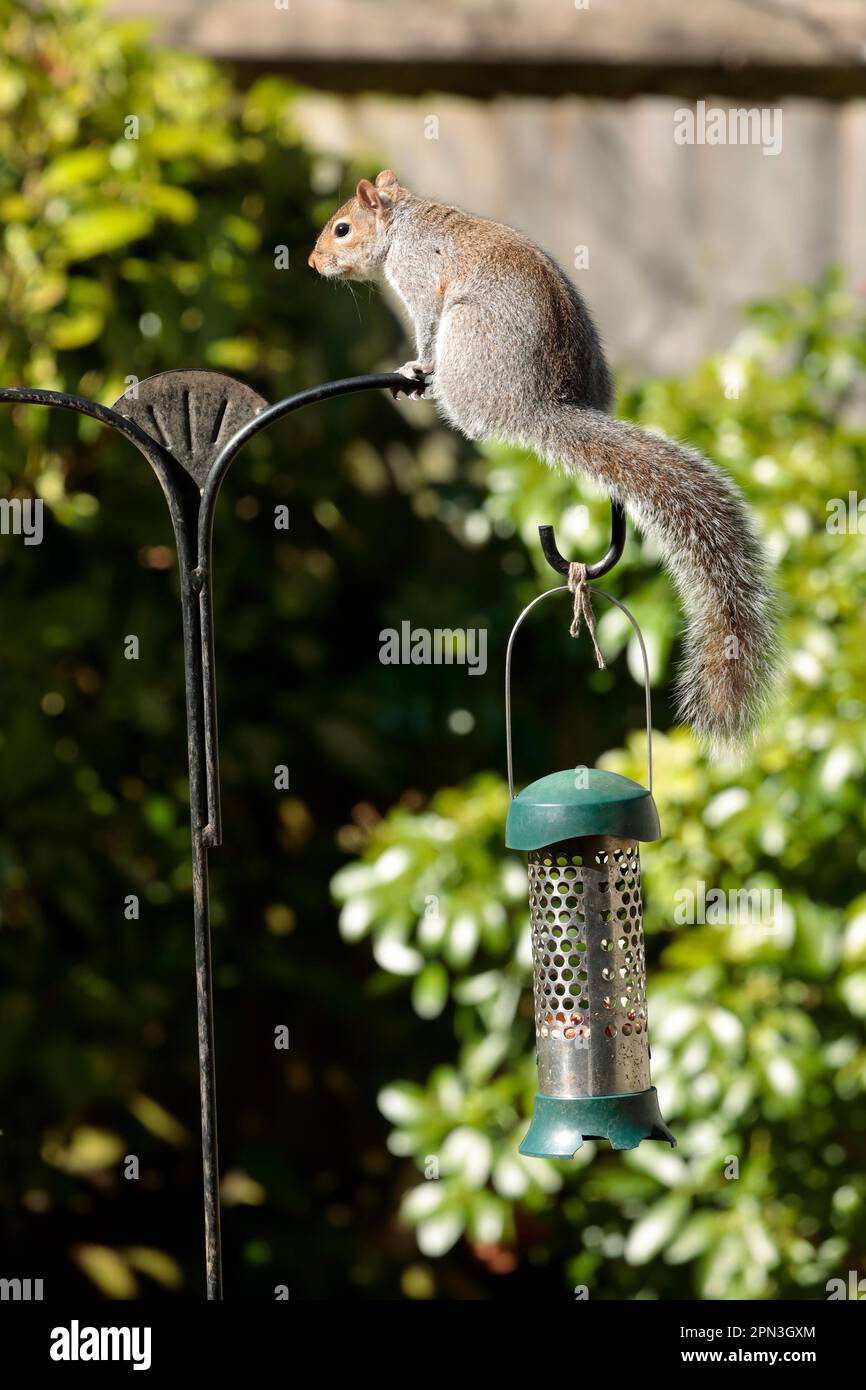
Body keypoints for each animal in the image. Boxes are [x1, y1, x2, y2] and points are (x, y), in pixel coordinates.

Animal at [309, 170, 780, 755]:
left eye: (342, 229)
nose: (312, 263)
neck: (404, 224)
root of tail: (538, 404)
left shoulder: (420, 282)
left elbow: (424, 327)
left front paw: (415, 364)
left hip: (466, 337)